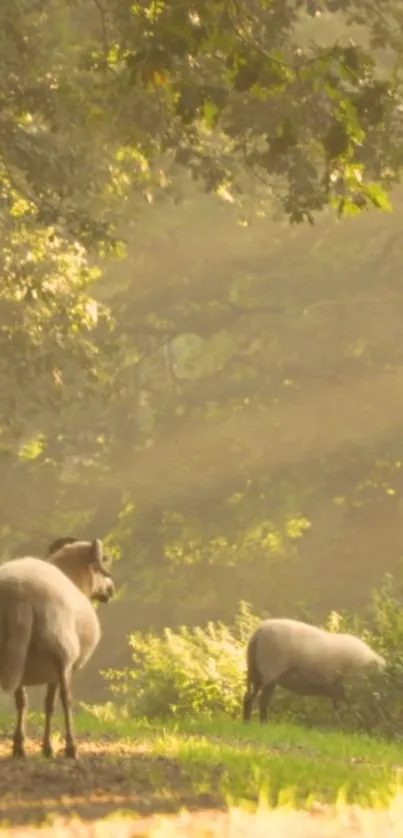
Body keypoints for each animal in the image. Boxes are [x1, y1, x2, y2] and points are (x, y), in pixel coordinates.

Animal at [0, 540, 115, 760]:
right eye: (98, 567)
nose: (111, 590)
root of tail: (21, 595)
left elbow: (24, 702)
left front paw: (23, 744)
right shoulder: (56, 668)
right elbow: (51, 704)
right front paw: (48, 747)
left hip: (14, 655)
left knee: (22, 701)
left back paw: (19, 747)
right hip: (60, 650)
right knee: (66, 699)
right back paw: (71, 747)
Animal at [241, 620, 386, 724]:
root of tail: (257, 634)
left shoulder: (338, 691)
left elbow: (340, 711)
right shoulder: (350, 689)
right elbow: (351, 712)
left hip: (256, 672)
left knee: (249, 697)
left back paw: (248, 722)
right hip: (270, 671)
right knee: (262, 701)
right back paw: (262, 723)